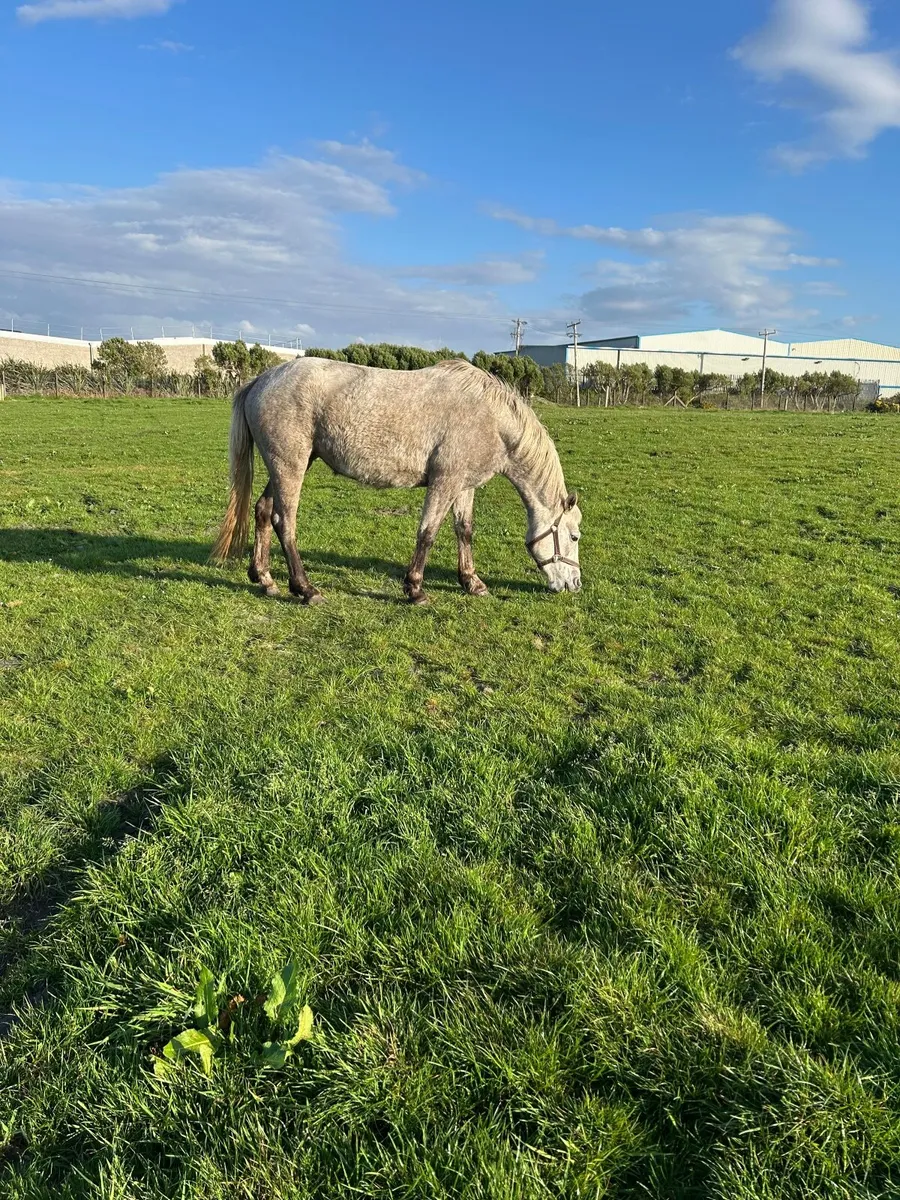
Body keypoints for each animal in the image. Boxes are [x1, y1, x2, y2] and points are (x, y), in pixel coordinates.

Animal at [211, 356, 582, 605]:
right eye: (574, 536)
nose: (575, 584)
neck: (490, 418)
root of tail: (260, 380)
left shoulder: (464, 486)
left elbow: (464, 531)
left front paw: (472, 582)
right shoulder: (445, 482)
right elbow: (428, 532)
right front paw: (415, 589)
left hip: (286, 466)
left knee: (262, 511)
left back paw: (265, 579)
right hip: (290, 465)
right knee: (283, 520)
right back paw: (305, 589)